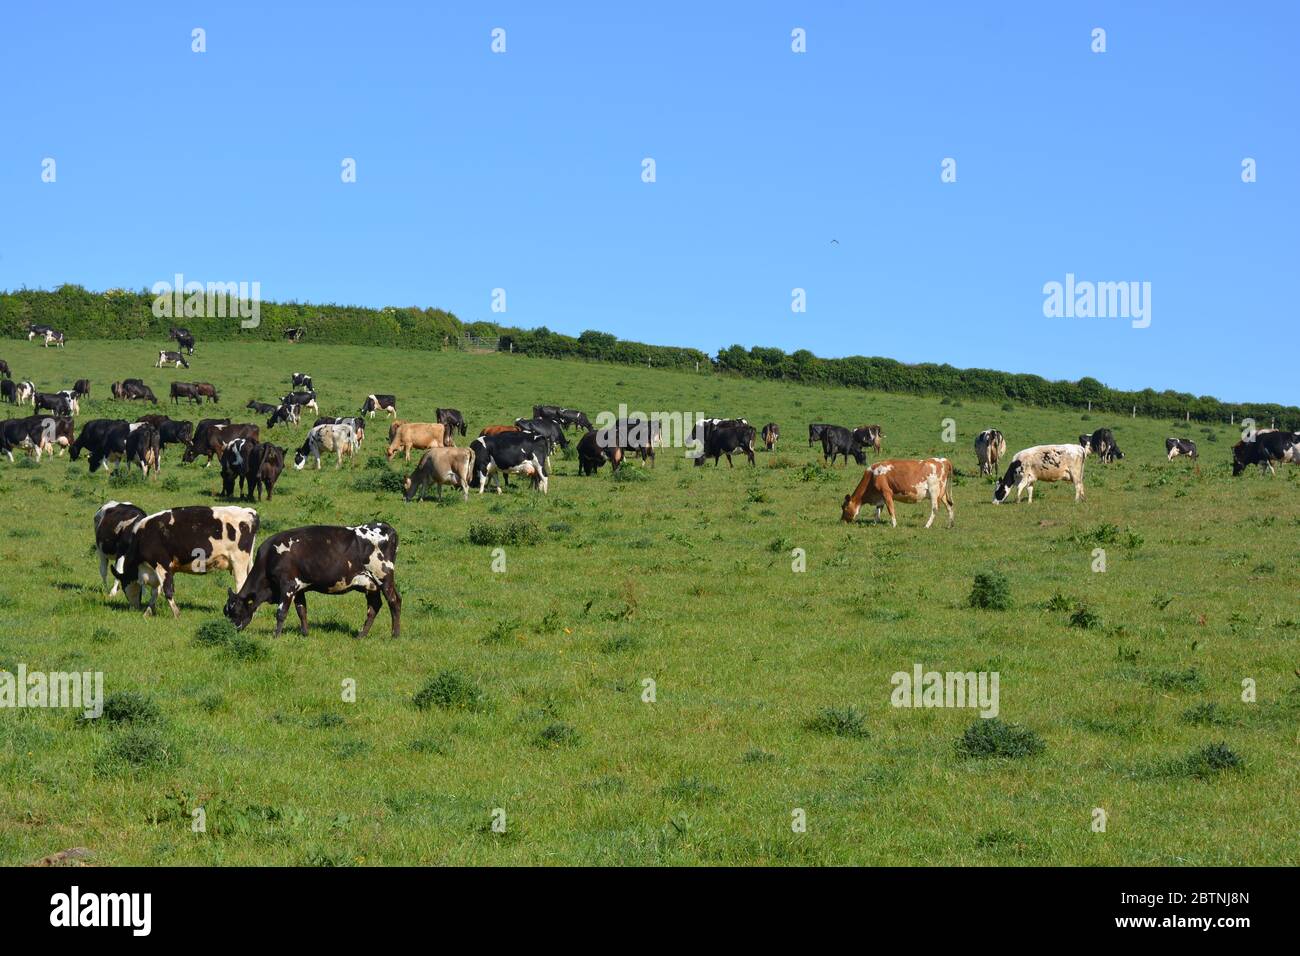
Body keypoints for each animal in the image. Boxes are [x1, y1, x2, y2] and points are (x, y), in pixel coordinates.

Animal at [113, 505, 259, 618]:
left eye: (124, 585)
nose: (133, 608)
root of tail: (249, 511)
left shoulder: (161, 564)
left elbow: (167, 590)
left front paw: (176, 614)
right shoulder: (164, 569)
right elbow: (156, 591)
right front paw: (147, 612)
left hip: (238, 562)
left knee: (241, 585)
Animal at [223, 522, 400, 639]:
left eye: (235, 611)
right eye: (226, 612)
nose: (230, 630)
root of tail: (385, 526)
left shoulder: (287, 585)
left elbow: (281, 612)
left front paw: (275, 636)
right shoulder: (299, 588)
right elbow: (302, 611)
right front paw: (305, 634)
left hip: (383, 577)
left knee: (394, 601)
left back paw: (395, 635)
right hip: (370, 585)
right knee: (374, 607)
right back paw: (361, 635)